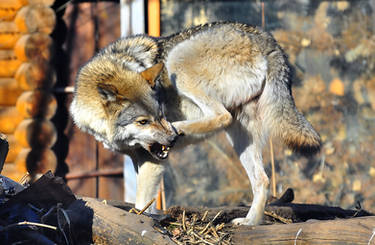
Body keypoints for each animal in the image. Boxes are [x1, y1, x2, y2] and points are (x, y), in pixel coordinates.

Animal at [70, 23, 320, 226]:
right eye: (143, 121)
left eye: (160, 114)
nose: (170, 140)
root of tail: (265, 37)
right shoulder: (136, 158)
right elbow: (148, 202)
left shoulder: (152, 161)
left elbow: (142, 201)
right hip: (242, 139)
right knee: (262, 180)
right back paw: (250, 222)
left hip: (178, 62)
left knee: (220, 116)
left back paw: (180, 127)